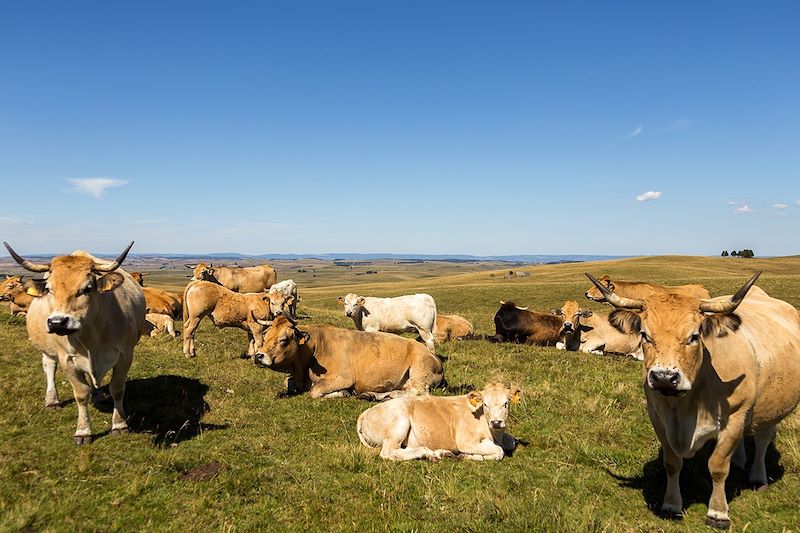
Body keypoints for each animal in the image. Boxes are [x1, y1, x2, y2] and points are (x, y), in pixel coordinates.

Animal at [253, 316, 444, 400]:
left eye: (284, 339)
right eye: (266, 336)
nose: (259, 356)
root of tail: (434, 357)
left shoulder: (343, 378)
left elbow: (315, 391)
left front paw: (343, 393)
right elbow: (287, 383)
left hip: (419, 370)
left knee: (416, 391)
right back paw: (371, 395)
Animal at [354, 380, 520, 460]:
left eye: (506, 403)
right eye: (485, 404)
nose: (496, 422)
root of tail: (366, 412)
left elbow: (511, 442)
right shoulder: (465, 442)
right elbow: (498, 451)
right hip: (398, 423)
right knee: (388, 452)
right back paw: (426, 452)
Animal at [584, 272, 800, 528]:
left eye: (694, 336)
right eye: (645, 335)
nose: (664, 377)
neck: (686, 405)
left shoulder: (735, 417)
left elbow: (718, 465)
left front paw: (718, 513)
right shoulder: (658, 417)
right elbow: (672, 463)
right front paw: (671, 505)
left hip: (770, 408)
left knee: (763, 438)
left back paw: (758, 476)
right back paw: (740, 461)